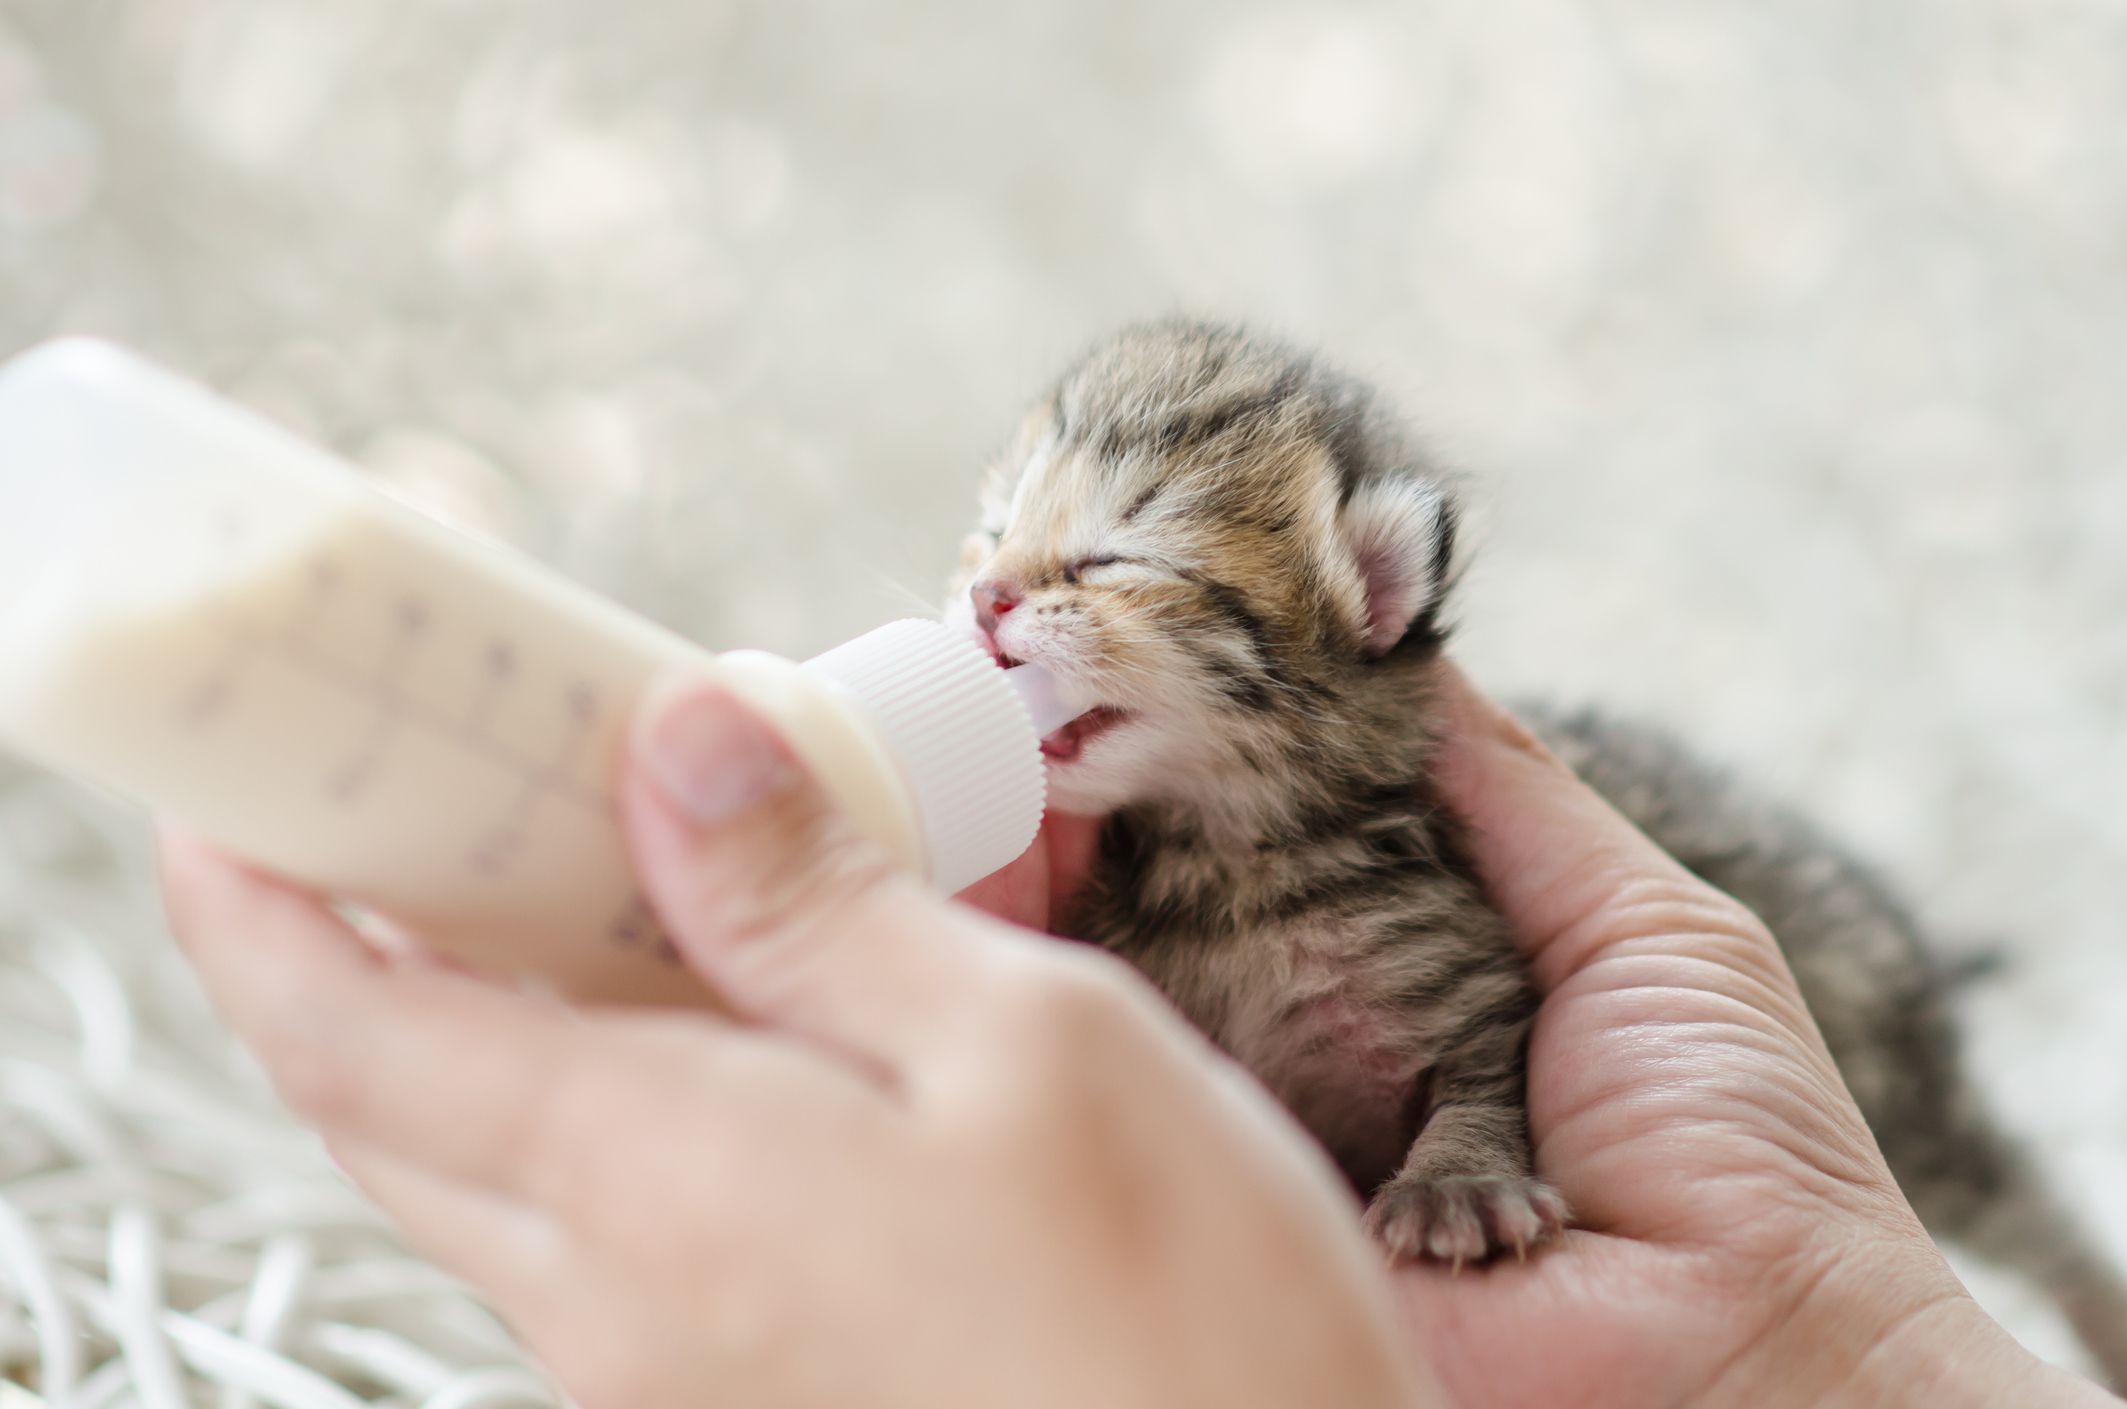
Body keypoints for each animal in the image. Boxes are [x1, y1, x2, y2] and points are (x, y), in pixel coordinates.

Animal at [940, 323, 2127, 1387]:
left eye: (1113, 557)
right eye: (991, 531)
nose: (984, 598)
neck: (1225, 862)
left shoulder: (1474, 977)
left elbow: (1483, 1082)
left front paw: (1456, 1184)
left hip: (1893, 1071)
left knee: (2020, 1195)